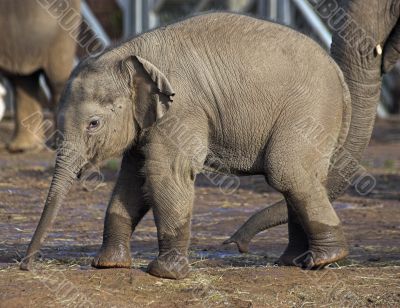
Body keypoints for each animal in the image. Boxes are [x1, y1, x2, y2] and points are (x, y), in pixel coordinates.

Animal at [21, 12, 352, 280]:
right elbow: (133, 180)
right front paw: (108, 265)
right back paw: (294, 261)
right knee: (301, 176)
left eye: (93, 124)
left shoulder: (181, 109)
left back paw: (324, 259)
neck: (128, 55)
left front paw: (164, 274)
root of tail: (339, 75)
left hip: (309, 111)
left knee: (286, 171)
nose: (26, 265)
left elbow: (165, 174)